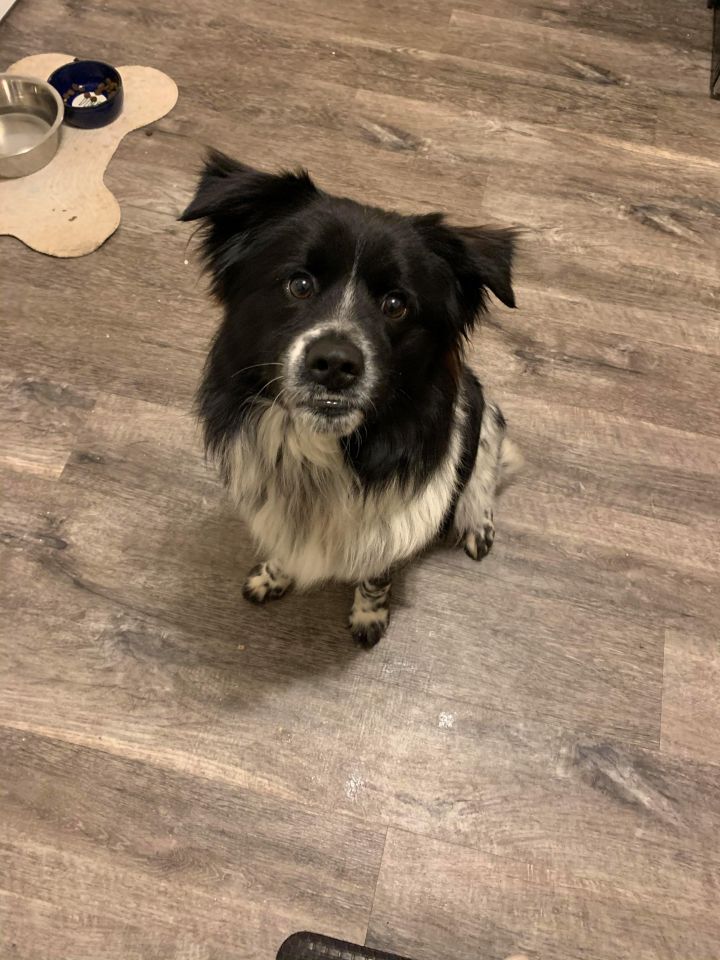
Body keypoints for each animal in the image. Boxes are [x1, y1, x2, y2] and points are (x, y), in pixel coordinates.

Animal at [182, 151, 521, 647]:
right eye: (299, 284)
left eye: (396, 304)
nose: (335, 364)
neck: (319, 458)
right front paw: (273, 576)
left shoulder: (394, 529)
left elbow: (375, 577)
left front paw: (368, 617)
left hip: (480, 405)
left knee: (486, 457)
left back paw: (476, 519)